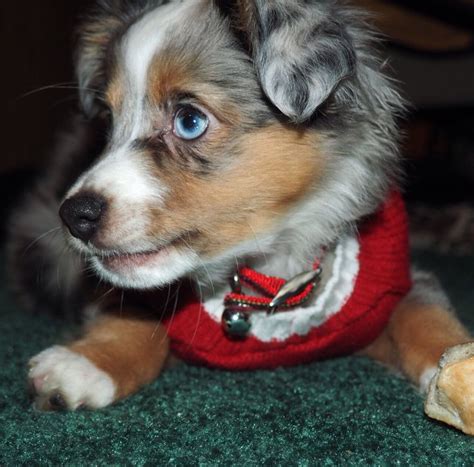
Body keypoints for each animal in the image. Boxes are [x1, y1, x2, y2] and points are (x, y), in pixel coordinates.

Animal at [9, 0, 474, 436]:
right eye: (108, 122)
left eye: (190, 120)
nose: (74, 216)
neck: (267, 270)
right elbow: (133, 314)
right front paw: (83, 363)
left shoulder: (394, 289)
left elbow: (422, 316)